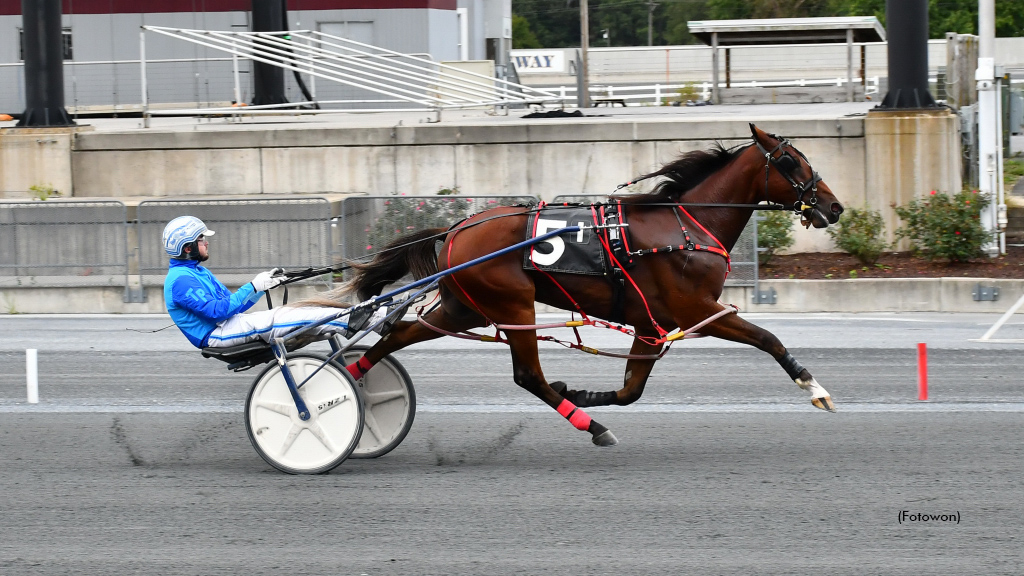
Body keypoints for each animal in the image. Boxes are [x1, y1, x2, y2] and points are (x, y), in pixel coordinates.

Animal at [339, 123, 843, 444]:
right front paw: (814, 387)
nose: (834, 207)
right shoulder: (697, 310)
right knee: (528, 376)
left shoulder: (650, 323)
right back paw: (591, 428)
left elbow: (630, 390)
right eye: (789, 161)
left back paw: (353, 378)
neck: (684, 226)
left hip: (464, 306)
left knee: (397, 336)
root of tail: (457, 229)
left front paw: (580, 392)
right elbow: (768, 338)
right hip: (512, 304)